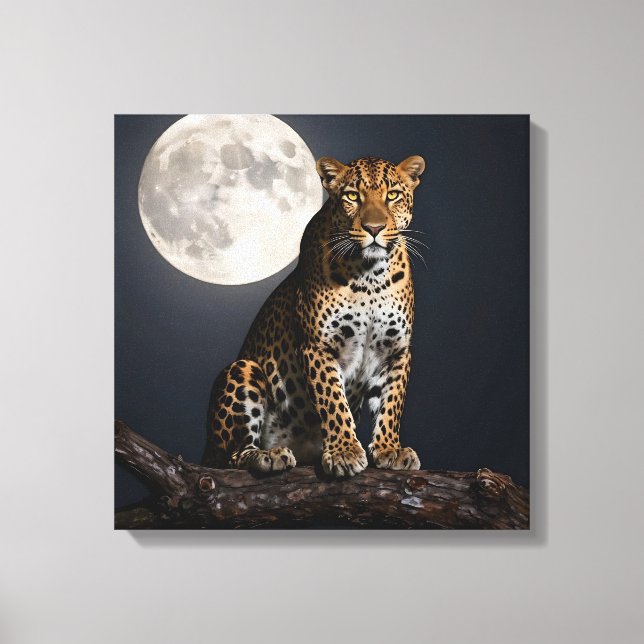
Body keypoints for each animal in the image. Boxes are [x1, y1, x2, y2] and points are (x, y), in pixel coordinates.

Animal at [201, 154, 426, 477]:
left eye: (393, 195)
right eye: (352, 196)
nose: (374, 228)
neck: (370, 277)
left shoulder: (396, 351)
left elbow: (392, 403)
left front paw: (389, 449)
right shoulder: (318, 347)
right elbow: (333, 401)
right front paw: (345, 451)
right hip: (244, 369)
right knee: (232, 456)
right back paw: (267, 456)